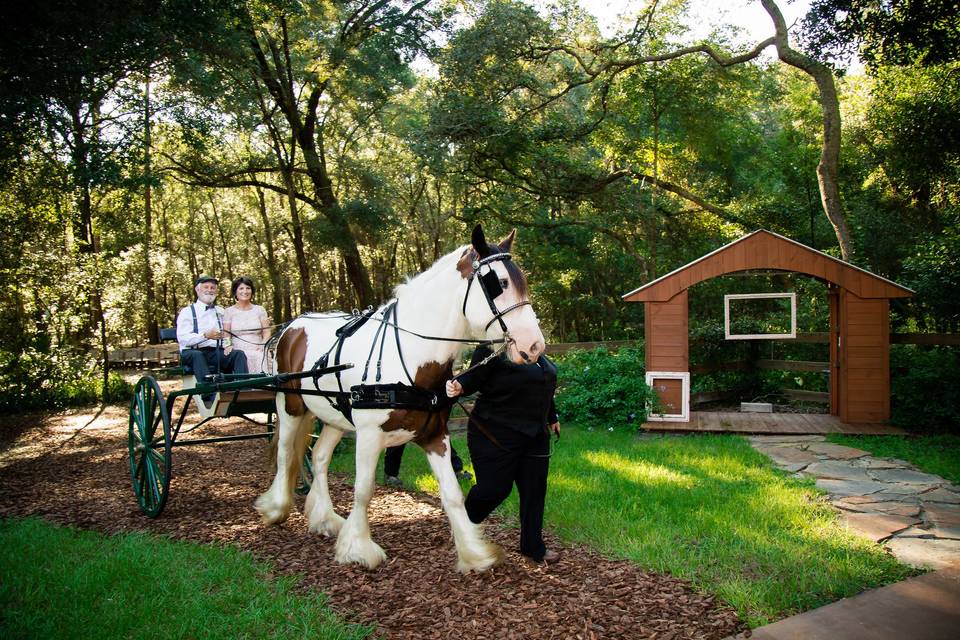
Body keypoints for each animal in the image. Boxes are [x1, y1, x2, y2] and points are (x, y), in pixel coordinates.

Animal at [255, 224, 544, 568]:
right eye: (497, 284)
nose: (535, 346)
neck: (409, 354)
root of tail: (293, 325)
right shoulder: (368, 435)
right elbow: (363, 489)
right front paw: (359, 548)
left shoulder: (435, 435)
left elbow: (452, 494)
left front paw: (474, 552)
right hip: (290, 406)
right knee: (285, 453)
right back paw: (276, 508)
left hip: (335, 417)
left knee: (320, 457)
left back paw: (325, 518)